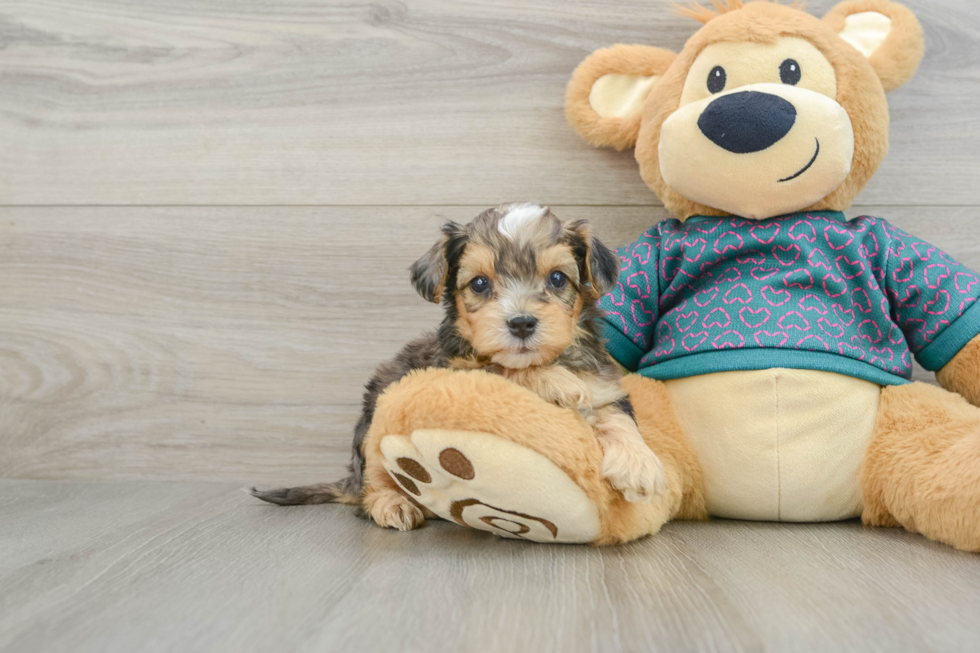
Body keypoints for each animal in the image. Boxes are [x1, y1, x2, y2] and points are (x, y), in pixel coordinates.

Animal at [251, 204, 668, 528]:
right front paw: (557, 382)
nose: (521, 323)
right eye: (480, 284)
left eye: (557, 278)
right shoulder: (451, 373)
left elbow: (616, 415)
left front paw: (639, 463)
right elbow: (501, 368)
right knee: (373, 482)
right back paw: (394, 503)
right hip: (371, 430)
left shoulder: (603, 383)